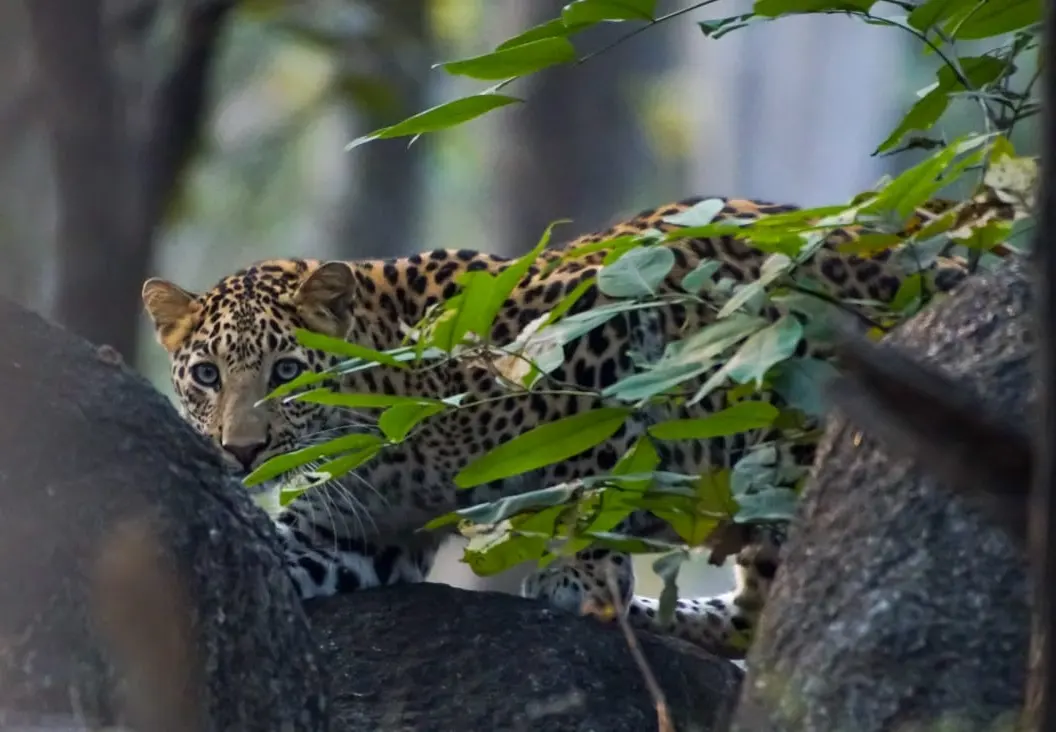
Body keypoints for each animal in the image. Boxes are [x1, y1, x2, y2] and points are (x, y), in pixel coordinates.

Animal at [141, 195, 1008, 660]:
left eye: (289, 371)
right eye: (206, 375)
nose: (241, 451)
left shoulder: (598, 322)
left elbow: (595, 454)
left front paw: (582, 574)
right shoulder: (350, 535)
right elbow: (280, 556)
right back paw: (676, 616)